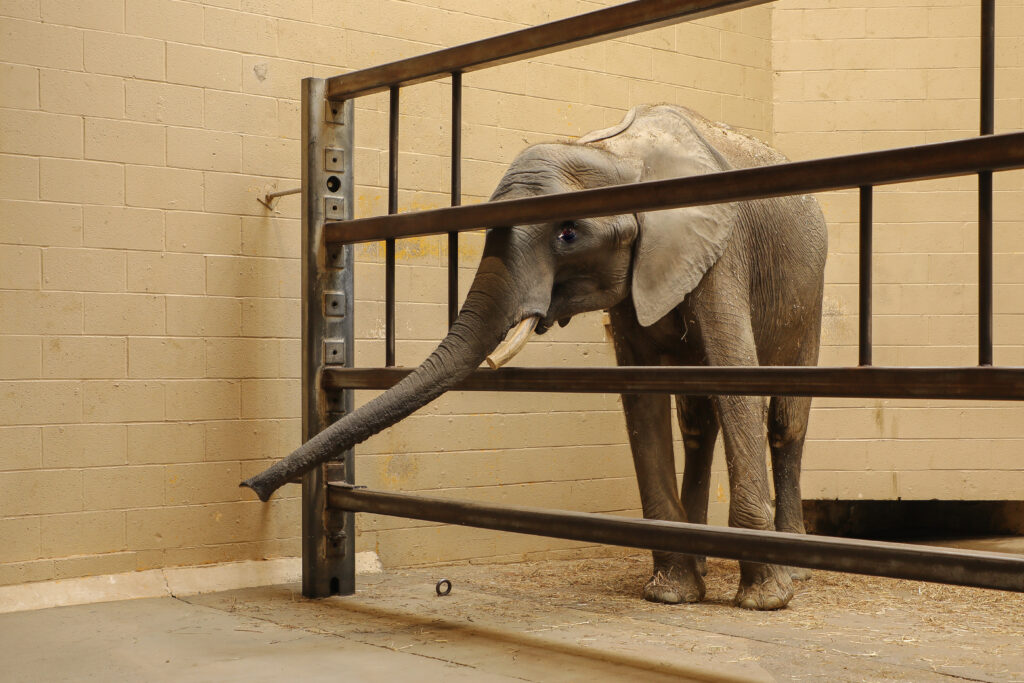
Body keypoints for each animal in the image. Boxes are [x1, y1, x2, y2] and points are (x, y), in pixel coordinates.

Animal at [243, 104, 828, 611]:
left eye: (568, 233)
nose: (252, 487)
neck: (615, 155)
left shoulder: (720, 253)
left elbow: (738, 377)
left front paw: (765, 602)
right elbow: (642, 395)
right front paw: (670, 595)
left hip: (811, 294)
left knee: (784, 421)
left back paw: (796, 570)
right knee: (698, 421)